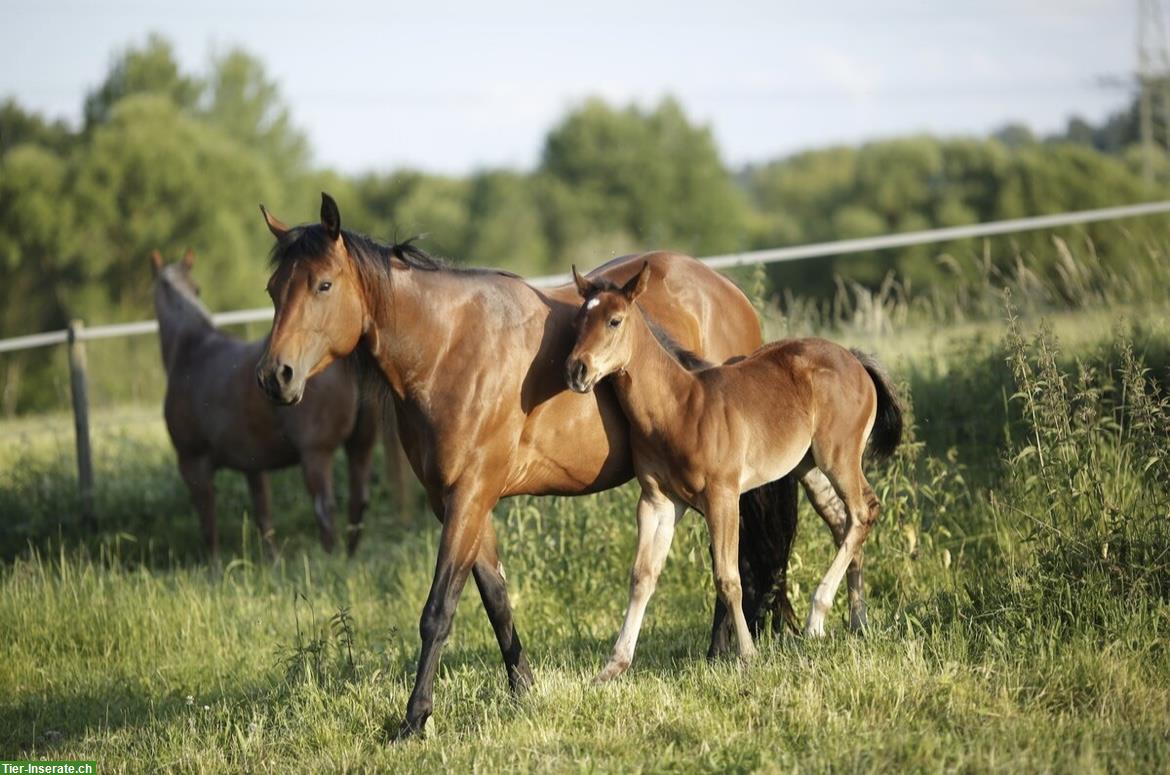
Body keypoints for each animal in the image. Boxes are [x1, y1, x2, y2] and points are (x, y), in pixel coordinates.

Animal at [152, 250, 379, 559]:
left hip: (316, 455)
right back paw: (349, 559)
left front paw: (214, 566)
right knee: (358, 500)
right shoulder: (253, 466)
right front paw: (273, 561)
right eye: (197, 288)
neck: (192, 349)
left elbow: (208, 523)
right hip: (361, 446)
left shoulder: (193, 464)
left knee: (325, 508)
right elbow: (263, 517)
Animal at [566, 262, 903, 679]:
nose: (576, 370)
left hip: (837, 456)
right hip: (809, 466)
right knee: (846, 520)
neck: (679, 407)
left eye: (614, 320)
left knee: (861, 512)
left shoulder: (722, 495)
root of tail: (854, 358)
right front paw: (614, 665)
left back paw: (816, 618)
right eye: (578, 321)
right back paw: (856, 621)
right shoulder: (657, 501)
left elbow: (729, 577)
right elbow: (642, 576)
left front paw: (747, 654)